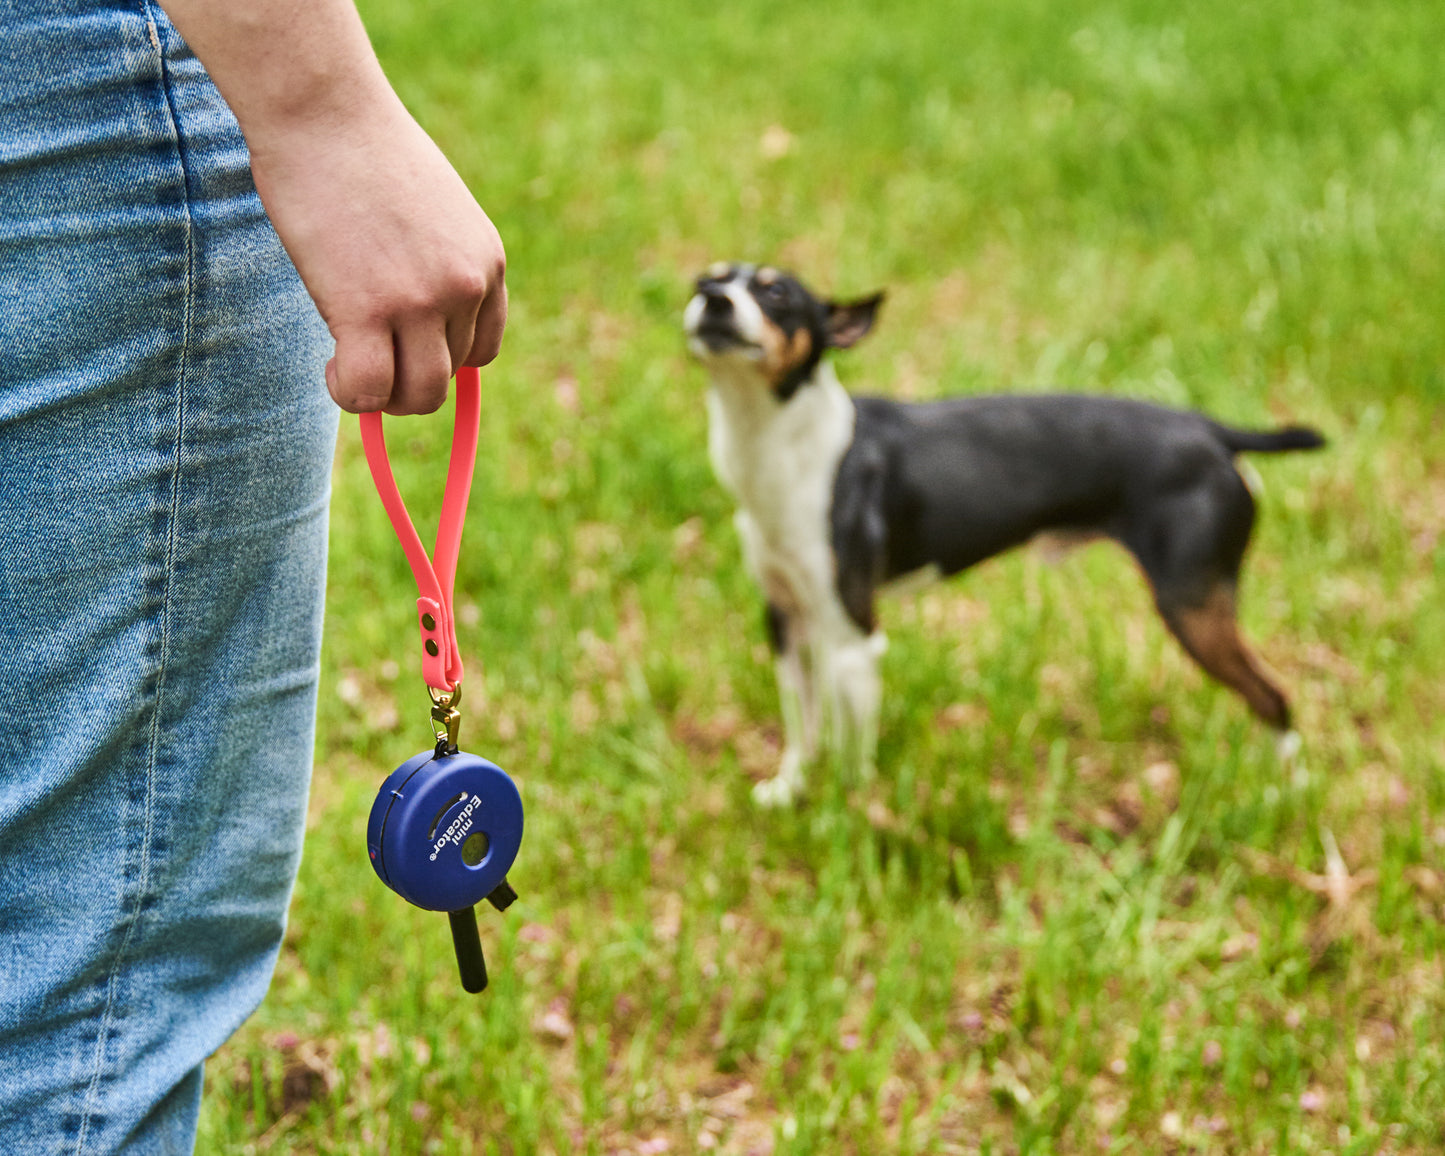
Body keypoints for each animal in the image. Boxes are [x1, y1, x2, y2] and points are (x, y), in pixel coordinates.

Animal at [682, 261, 1323, 803]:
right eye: (704, 280)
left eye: (777, 294)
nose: (713, 299)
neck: (786, 447)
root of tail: (1212, 432)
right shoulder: (785, 620)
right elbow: (802, 725)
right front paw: (789, 791)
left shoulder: (853, 640)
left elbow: (851, 752)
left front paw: (846, 816)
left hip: (1194, 610)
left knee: (1275, 697)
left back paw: (1286, 794)